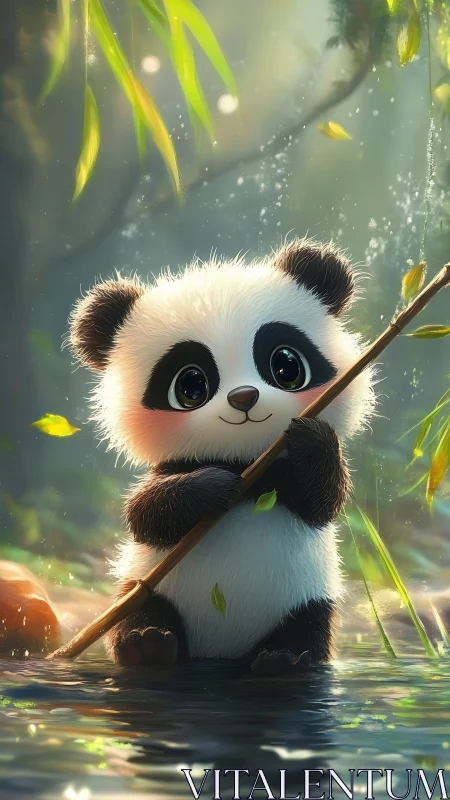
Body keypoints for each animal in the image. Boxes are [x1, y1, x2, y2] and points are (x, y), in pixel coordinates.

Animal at [69, 238, 375, 674]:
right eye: (190, 385)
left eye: (286, 365)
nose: (243, 397)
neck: (247, 459)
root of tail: (220, 651)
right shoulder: (172, 471)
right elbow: (144, 514)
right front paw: (213, 484)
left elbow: (323, 501)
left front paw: (311, 439)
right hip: (146, 586)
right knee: (141, 609)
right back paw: (147, 647)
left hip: (306, 599)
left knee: (308, 625)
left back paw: (284, 659)